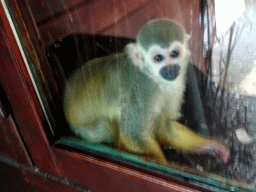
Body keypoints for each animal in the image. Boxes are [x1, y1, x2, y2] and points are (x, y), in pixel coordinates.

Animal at [64, 18, 230, 164]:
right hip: (86, 131)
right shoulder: (143, 90)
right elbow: (134, 135)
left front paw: (210, 147)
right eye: (158, 58)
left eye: (174, 54)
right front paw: (164, 166)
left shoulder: (176, 84)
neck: (154, 77)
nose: (170, 69)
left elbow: (164, 126)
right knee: (107, 125)